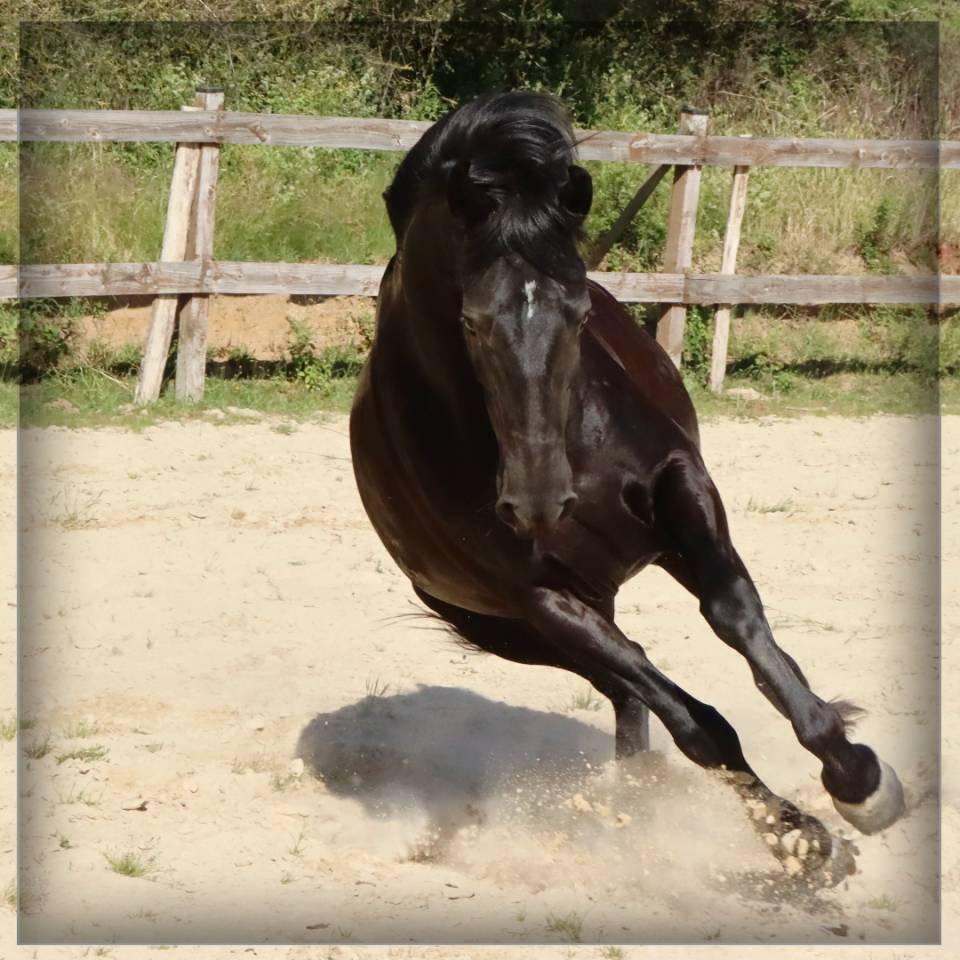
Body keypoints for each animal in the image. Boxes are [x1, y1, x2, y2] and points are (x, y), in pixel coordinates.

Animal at [349, 91, 905, 885]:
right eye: (471, 324)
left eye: (581, 310)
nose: (537, 504)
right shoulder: (541, 599)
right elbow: (698, 726)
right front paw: (805, 840)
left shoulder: (682, 487)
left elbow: (735, 616)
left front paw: (857, 777)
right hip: (524, 631)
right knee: (633, 691)